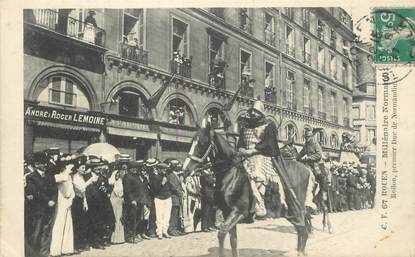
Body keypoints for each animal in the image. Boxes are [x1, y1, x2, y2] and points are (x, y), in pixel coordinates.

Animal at [184, 120, 314, 256]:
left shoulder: (238, 211)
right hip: (291, 213)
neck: (231, 174)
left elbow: (222, 232)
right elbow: (233, 240)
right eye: (192, 142)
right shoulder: (227, 212)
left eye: (202, 144)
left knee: (303, 230)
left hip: (296, 210)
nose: (185, 169)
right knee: (301, 230)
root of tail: (307, 169)